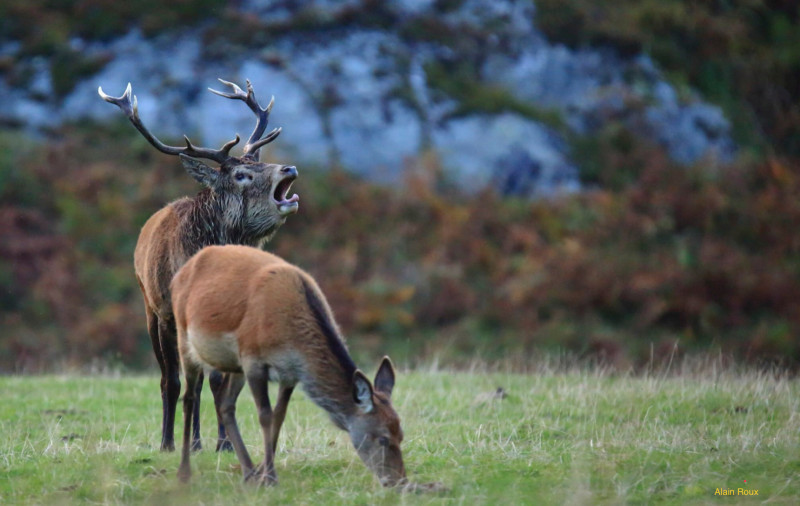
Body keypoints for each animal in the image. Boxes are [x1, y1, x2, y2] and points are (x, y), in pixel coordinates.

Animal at [98, 79, 299, 453]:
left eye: (259, 161)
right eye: (242, 174)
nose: (289, 168)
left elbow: (220, 379)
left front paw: (226, 443)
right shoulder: (166, 313)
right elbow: (174, 381)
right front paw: (167, 442)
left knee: (203, 378)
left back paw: (198, 441)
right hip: (150, 308)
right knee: (172, 378)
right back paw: (181, 440)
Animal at [170, 245, 407, 487]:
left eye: (401, 434)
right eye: (382, 438)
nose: (399, 480)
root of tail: (182, 271)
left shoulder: (289, 373)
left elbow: (279, 415)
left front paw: (264, 471)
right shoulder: (253, 360)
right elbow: (265, 415)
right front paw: (270, 478)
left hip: (235, 365)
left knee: (225, 404)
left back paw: (248, 471)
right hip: (184, 337)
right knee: (189, 398)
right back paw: (184, 471)